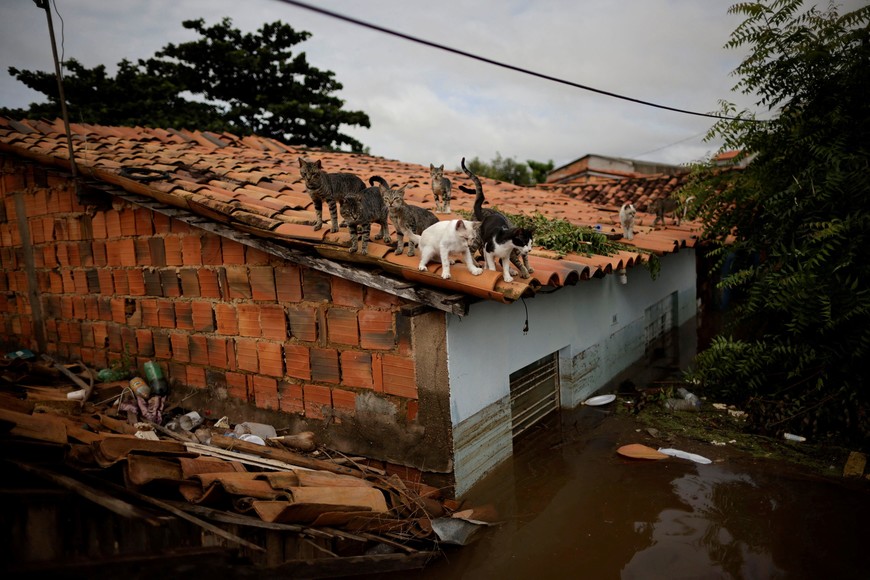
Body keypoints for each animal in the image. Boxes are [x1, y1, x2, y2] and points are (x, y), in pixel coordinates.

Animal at [460, 156, 536, 284]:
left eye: (531, 243)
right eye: (524, 242)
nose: (529, 250)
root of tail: (481, 208)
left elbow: (524, 259)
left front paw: (528, 268)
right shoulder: (511, 254)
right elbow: (518, 263)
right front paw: (523, 272)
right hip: (477, 239)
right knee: (471, 250)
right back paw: (476, 264)